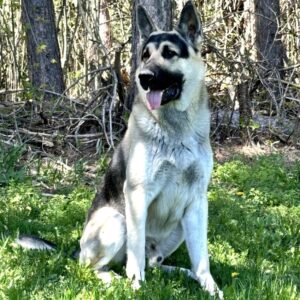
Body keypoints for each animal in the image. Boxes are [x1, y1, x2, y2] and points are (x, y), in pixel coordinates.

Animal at [78, 1, 221, 298]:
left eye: (169, 53)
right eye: (145, 56)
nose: (144, 77)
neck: (175, 129)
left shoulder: (198, 201)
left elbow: (201, 256)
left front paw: (210, 286)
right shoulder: (137, 194)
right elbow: (134, 255)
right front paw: (136, 285)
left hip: (180, 225)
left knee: (155, 263)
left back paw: (183, 273)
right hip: (117, 220)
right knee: (96, 267)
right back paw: (115, 279)